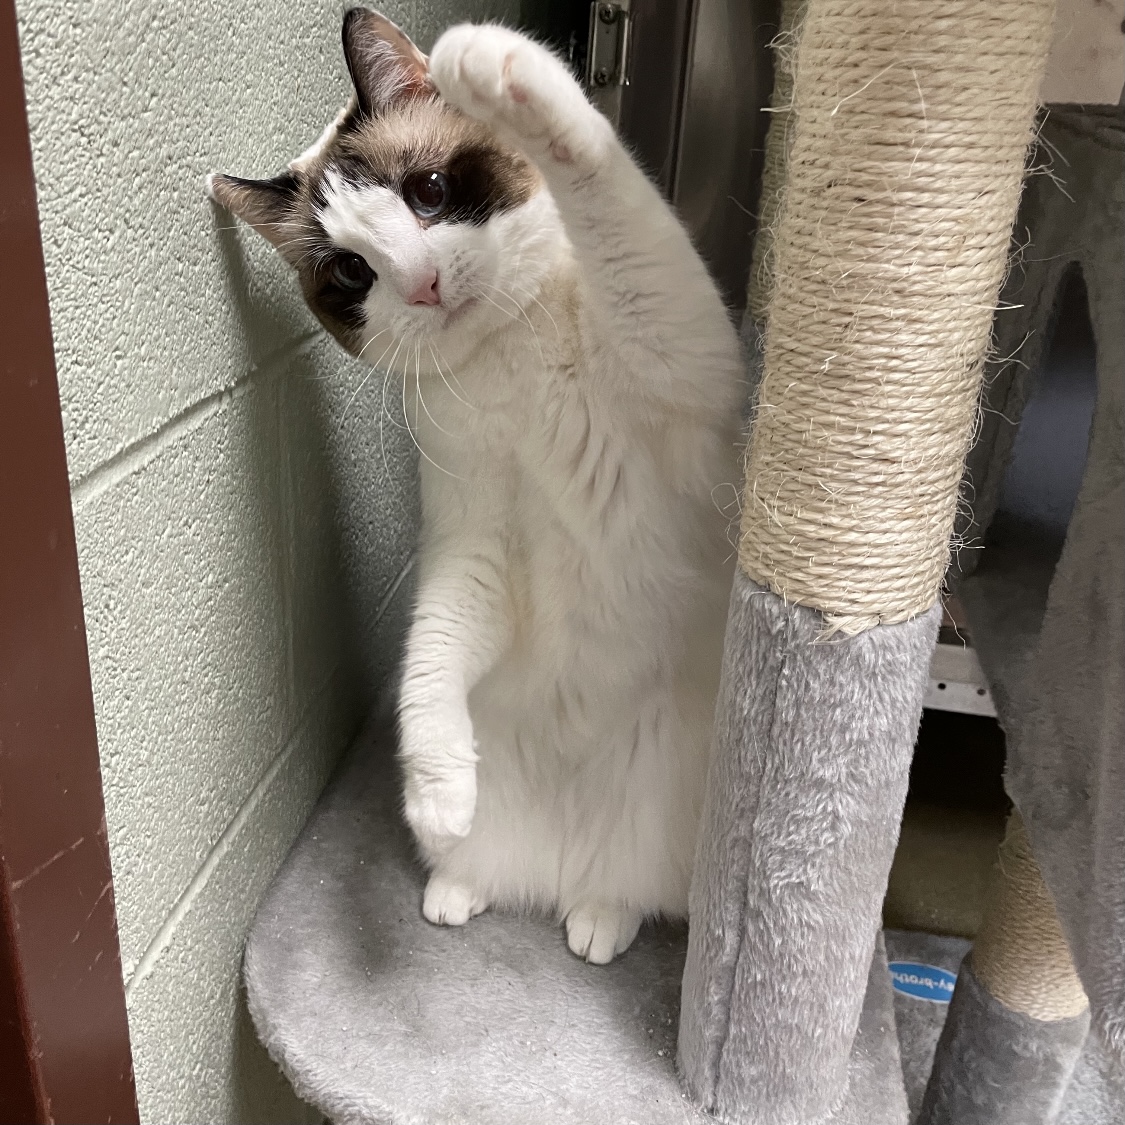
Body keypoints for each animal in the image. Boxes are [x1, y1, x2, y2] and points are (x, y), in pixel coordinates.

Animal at [210, 8, 742, 963]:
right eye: (350, 274)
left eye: (428, 192)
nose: (421, 286)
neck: (508, 346)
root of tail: (562, 865)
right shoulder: (476, 551)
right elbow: (432, 655)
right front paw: (438, 788)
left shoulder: (675, 349)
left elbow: (606, 188)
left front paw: (495, 64)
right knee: (492, 866)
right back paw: (458, 884)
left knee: (624, 891)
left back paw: (599, 918)